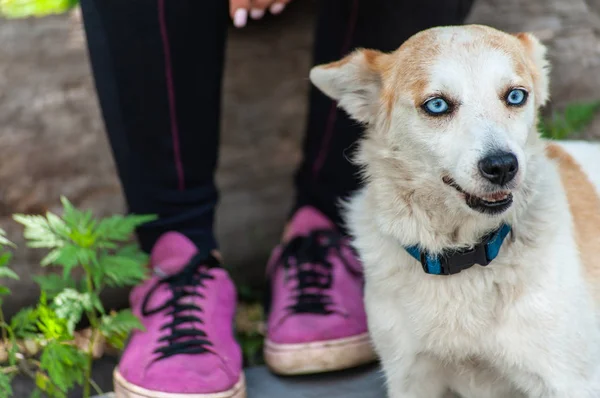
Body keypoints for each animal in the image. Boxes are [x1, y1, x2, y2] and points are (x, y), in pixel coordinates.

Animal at [312, 25, 600, 398]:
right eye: (437, 105)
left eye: (515, 96)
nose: (502, 166)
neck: (464, 254)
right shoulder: (411, 380)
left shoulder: (569, 381)